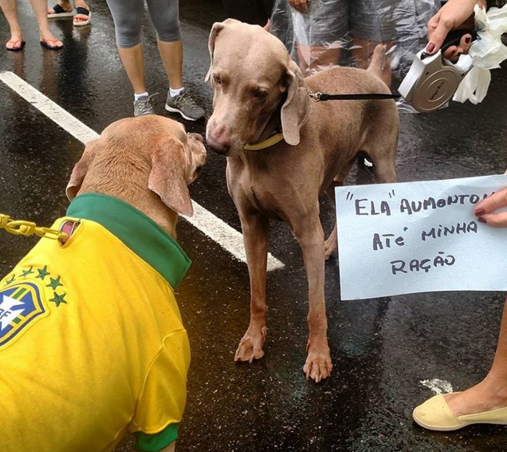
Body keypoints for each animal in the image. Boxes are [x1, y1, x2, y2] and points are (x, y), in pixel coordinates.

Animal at [206, 19, 400, 384]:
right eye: (218, 78)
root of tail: (373, 75)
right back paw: (331, 246)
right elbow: (256, 294)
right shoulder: (251, 224)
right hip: (333, 176)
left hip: (384, 167)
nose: (216, 143)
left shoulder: (306, 230)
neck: (262, 149)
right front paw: (253, 340)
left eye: (259, 93)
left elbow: (316, 307)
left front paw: (320, 356)